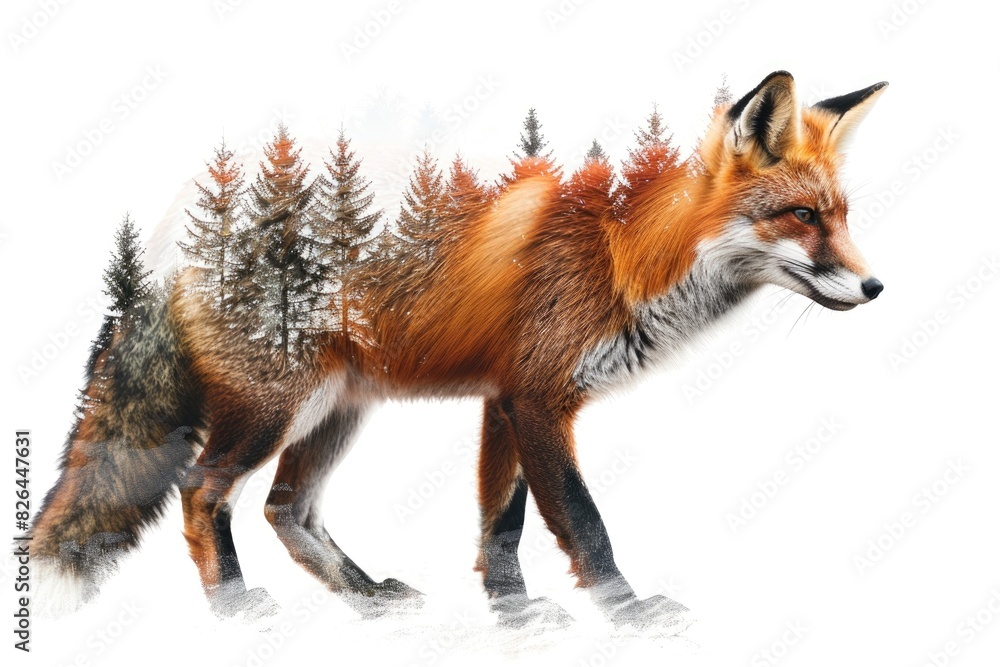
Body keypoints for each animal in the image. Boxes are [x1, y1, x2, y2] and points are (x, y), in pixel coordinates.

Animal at [31, 71, 887, 629]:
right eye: (802, 215)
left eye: (841, 214)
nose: (877, 286)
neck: (625, 256)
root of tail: (172, 232)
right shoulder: (537, 400)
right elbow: (583, 520)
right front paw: (628, 612)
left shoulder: (503, 401)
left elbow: (498, 522)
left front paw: (513, 612)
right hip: (275, 408)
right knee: (203, 491)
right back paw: (234, 608)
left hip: (338, 410)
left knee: (285, 507)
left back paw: (367, 597)